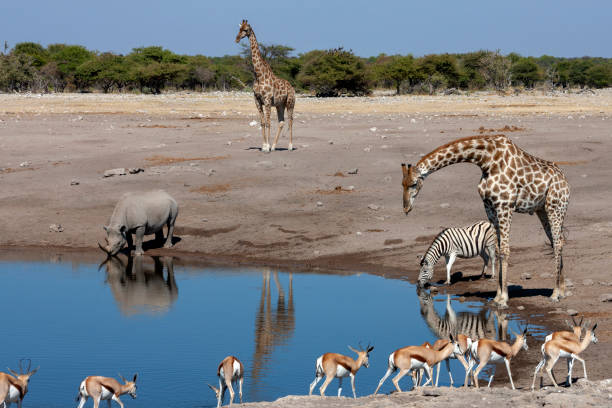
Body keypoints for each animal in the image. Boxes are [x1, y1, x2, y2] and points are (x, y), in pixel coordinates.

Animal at [235, 19, 296, 153]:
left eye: (246, 30)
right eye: (239, 29)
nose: (237, 39)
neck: (259, 75)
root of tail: (292, 87)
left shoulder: (267, 100)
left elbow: (268, 122)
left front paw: (266, 147)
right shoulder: (257, 100)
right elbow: (262, 122)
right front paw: (264, 146)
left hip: (290, 103)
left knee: (290, 120)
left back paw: (289, 146)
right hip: (280, 105)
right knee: (281, 122)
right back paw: (274, 146)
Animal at [402, 135, 568, 308]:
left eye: (414, 183)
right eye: (402, 184)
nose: (406, 208)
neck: (486, 161)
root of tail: (564, 179)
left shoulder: (504, 206)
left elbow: (504, 251)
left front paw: (504, 299)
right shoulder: (490, 207)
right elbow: (497, 249)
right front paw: (497, 296)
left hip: (555, 207)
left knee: (557, 243)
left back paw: (555, 294)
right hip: (542, 210)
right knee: (557, 241)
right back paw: (562, 291)